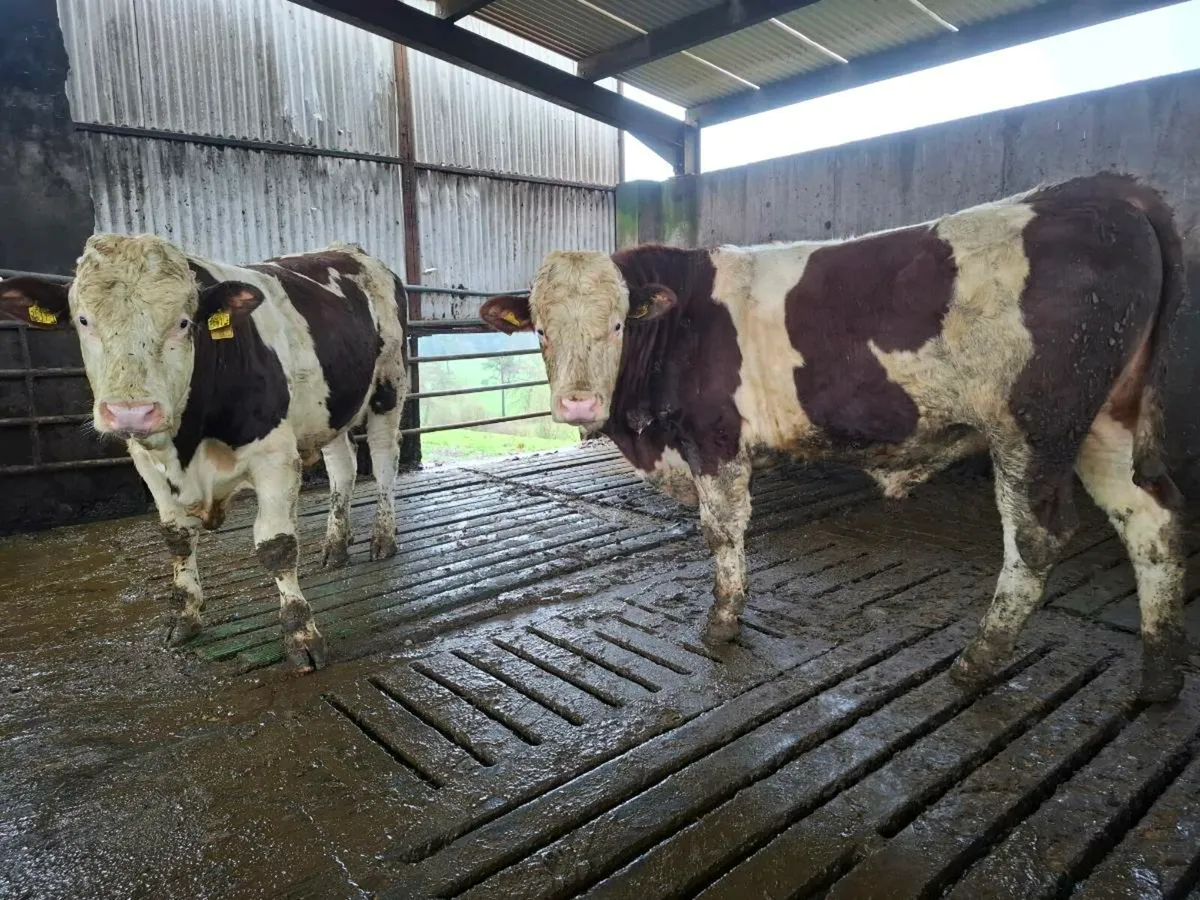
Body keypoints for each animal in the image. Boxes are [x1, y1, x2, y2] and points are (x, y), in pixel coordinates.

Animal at [0, 234, 408, 671]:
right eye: (83, 320)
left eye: (183, 322)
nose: (131, 411)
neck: (186, 445)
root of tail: (349, 249)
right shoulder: (147, 462)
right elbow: (176, 538)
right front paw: (185, 617)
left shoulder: (275, 458)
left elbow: (277, 546)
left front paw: (301, 635)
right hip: (331, 407)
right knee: (342, 466)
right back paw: (335, 546)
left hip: (389, 385)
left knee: (383, 460)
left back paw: (383, 538)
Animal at [481, 173, 1190, 703]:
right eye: (540, 328)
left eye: (618, 323)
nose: (577, 401)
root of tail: (1102, 191)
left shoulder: (716, 439)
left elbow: (723, 534)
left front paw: (722, 626)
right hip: (1106, 421)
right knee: (1150, 518)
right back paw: (1159, 672)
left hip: (1034, 426)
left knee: (1036, 539)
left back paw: (978, 661)